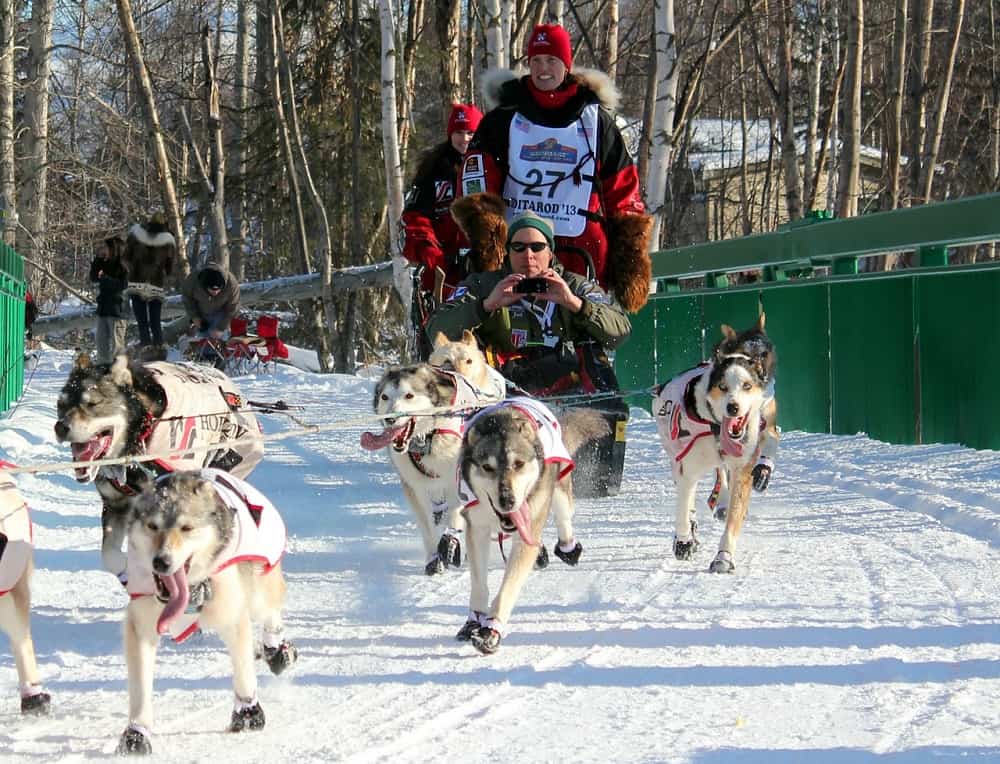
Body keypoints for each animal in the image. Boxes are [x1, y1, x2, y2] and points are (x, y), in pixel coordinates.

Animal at [116, 468, 294, 756]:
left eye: (186, 528)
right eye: (152, 526)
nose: (161, 561)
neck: (193, 588)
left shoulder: (232, 616)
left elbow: (243, 670)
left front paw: (247, 711)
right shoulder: (141, 626)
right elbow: (140, 687)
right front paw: (136, 733)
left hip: (259, 587)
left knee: (269, 612)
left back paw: (277, 649)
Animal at [360, 362, 504, 572]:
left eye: (409, 395)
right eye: (385, 397)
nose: (390, 419)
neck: (427, 438)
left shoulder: (457, 480)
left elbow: (455, 513)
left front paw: (449, 541)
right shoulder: (414, 487)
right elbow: (426, 526)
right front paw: (433, 557)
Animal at [456, 396, 608, 652]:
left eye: (518, 464)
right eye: (487, 467)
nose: (507, 500)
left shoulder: (528, 527)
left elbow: (509, 586)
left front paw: (491, 629)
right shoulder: (476, 528)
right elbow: (478, 584)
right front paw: (474, 620)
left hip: (558, 489)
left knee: (563, 515)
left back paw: (568, 548)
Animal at [648, 312, 780, 572]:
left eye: (747, 385)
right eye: (722, 386)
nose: (733, 407)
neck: (716, 425)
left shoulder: (743, 465)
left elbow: (733, 518)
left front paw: (724, 556)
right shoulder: (687, 469)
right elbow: (683, 506)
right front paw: (684, 541)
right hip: (676, 458)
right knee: (689, 496)